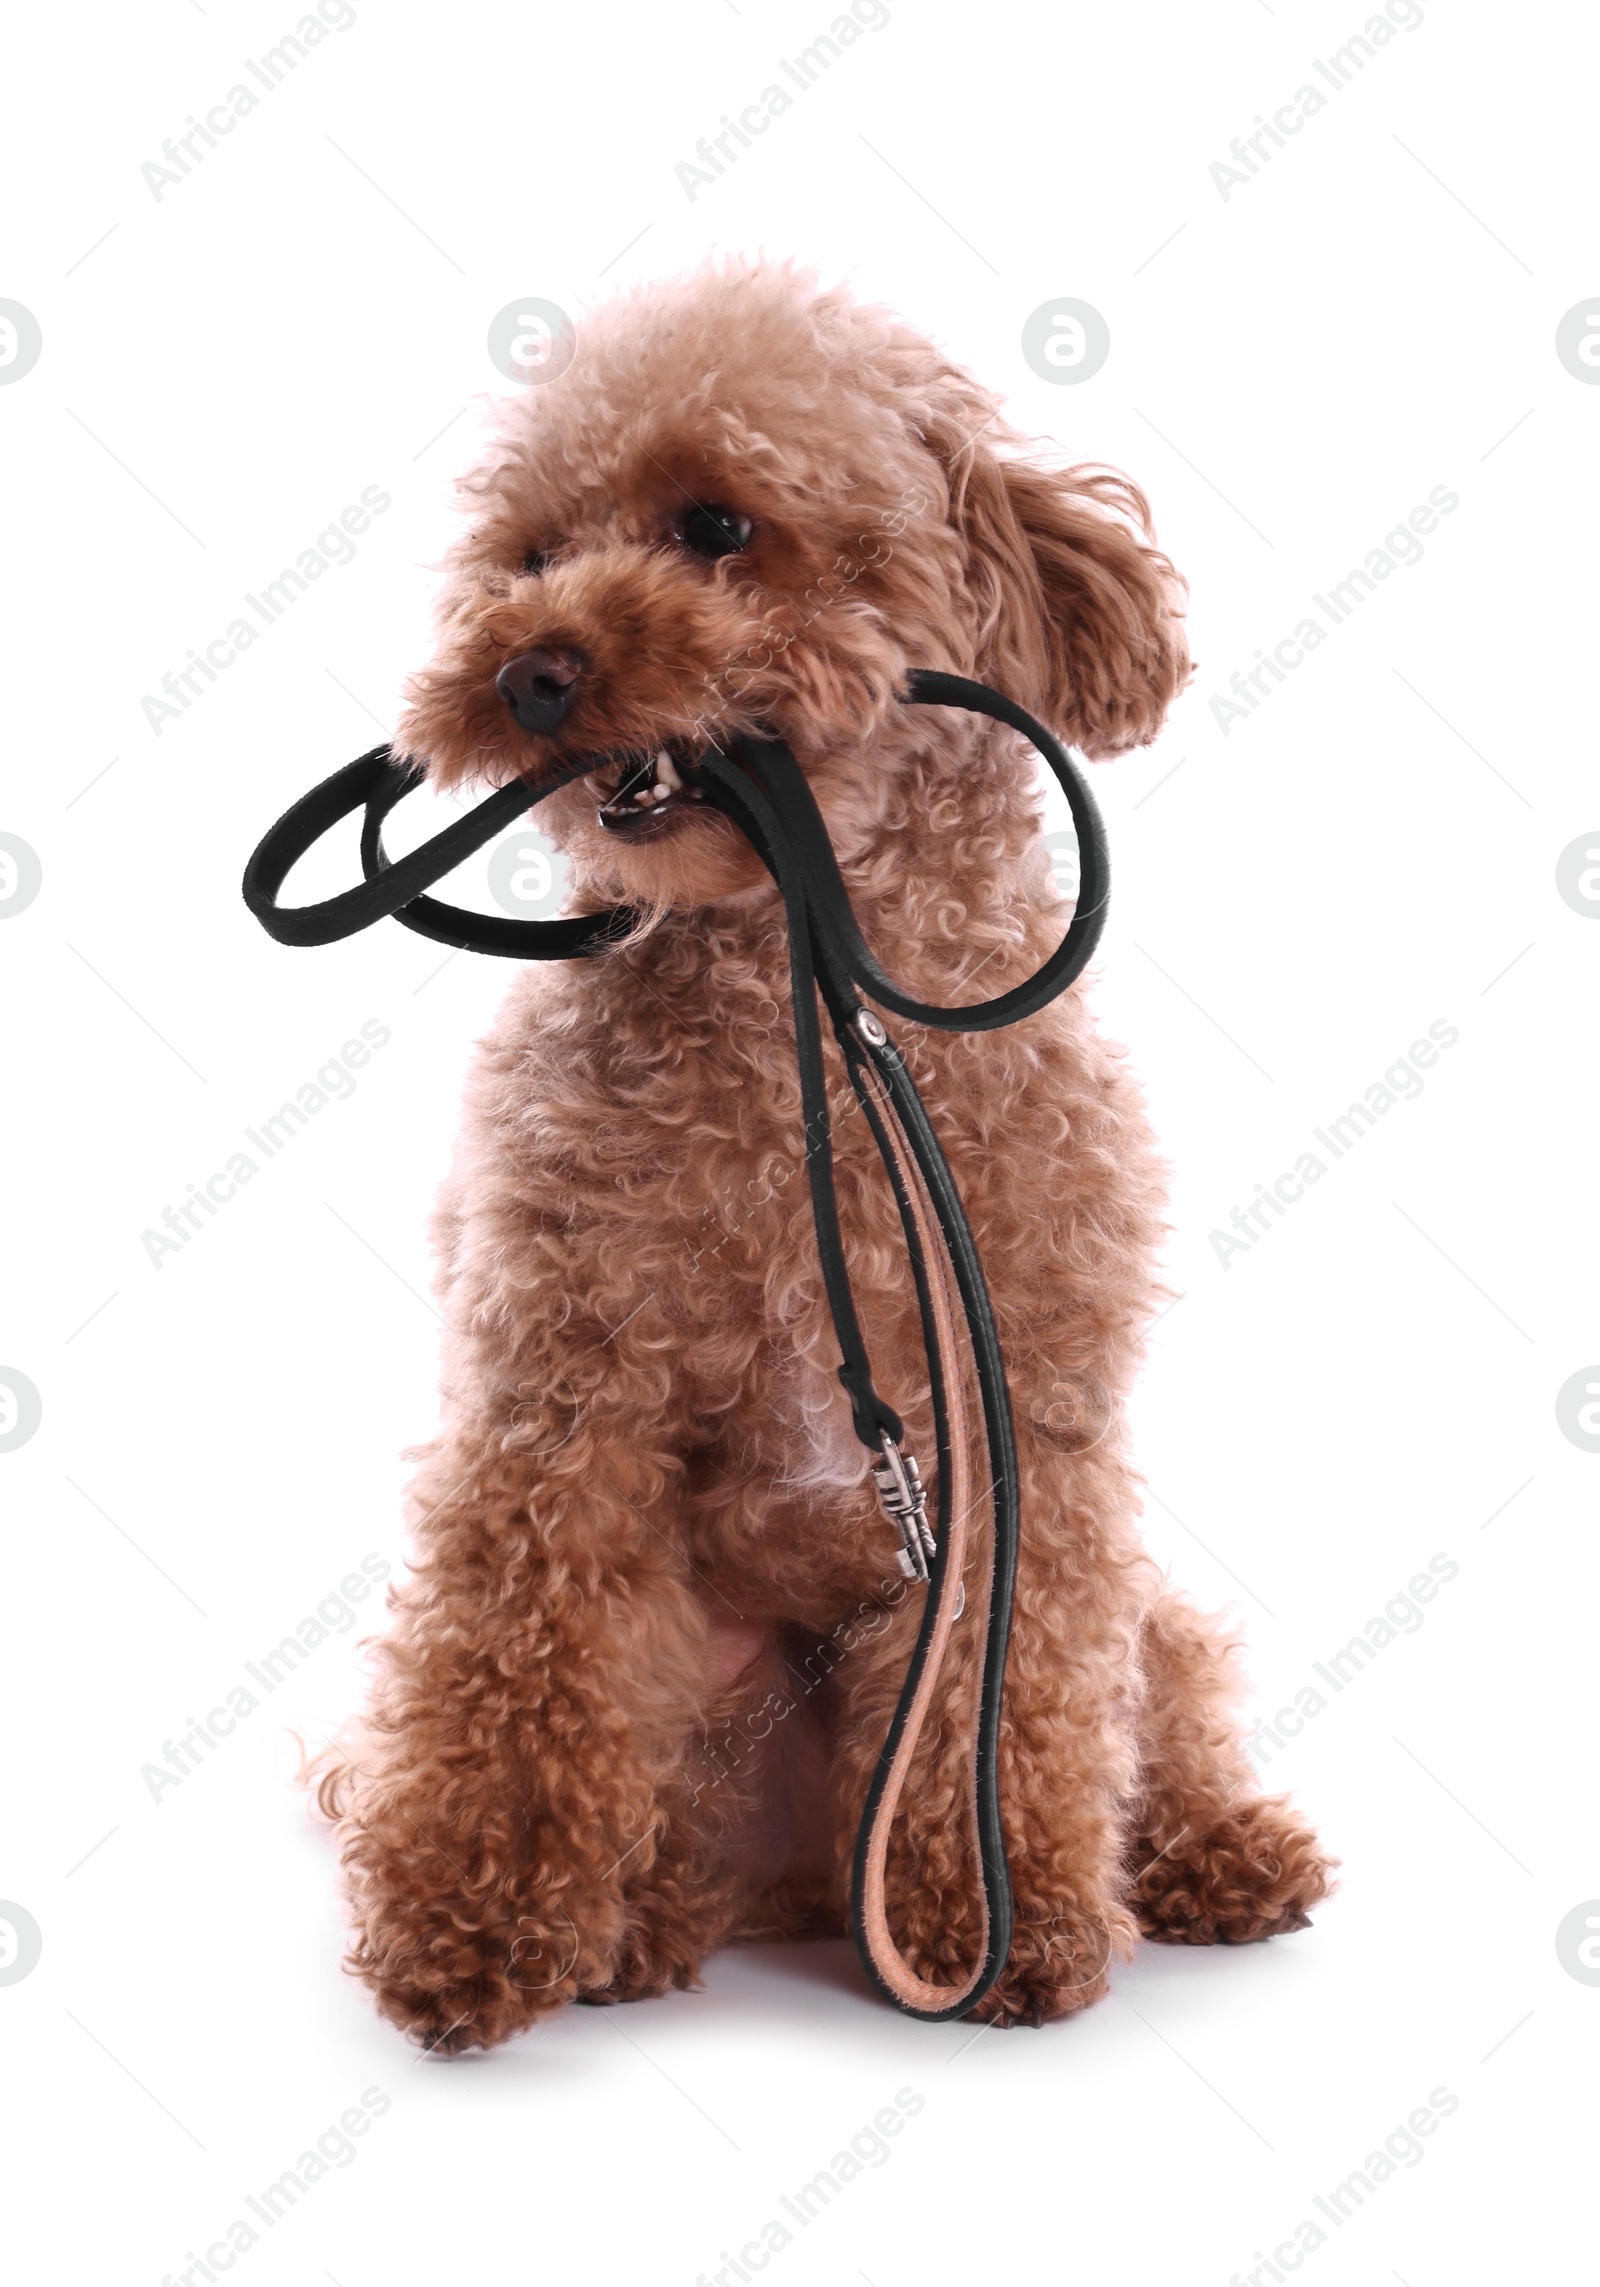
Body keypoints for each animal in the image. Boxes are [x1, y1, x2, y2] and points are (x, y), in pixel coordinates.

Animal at [317, 259, 1334, 2049]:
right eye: (531, 556)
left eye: (718, 526)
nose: (527, 669)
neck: (789, 1001)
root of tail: (788, 1883)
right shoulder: (557, 1398)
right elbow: (510, 1658)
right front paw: (472, 1924)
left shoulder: (1024, 1429)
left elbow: (1027, 1691)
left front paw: (1001, 1920)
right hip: (697, 1728)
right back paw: (636, 1930)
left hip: (1133, 1612)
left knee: (1163, 1696)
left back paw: (1218, 1854)